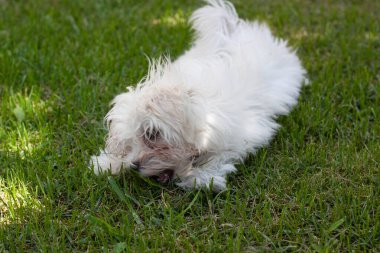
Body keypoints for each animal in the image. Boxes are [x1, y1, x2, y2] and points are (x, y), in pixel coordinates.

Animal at [91, 0, 306, 190]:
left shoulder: (243, 136)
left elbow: (219, 157)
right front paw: (108, 163)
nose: (135, 166)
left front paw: (200, 177)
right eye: (130, 143)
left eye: (151, 134)